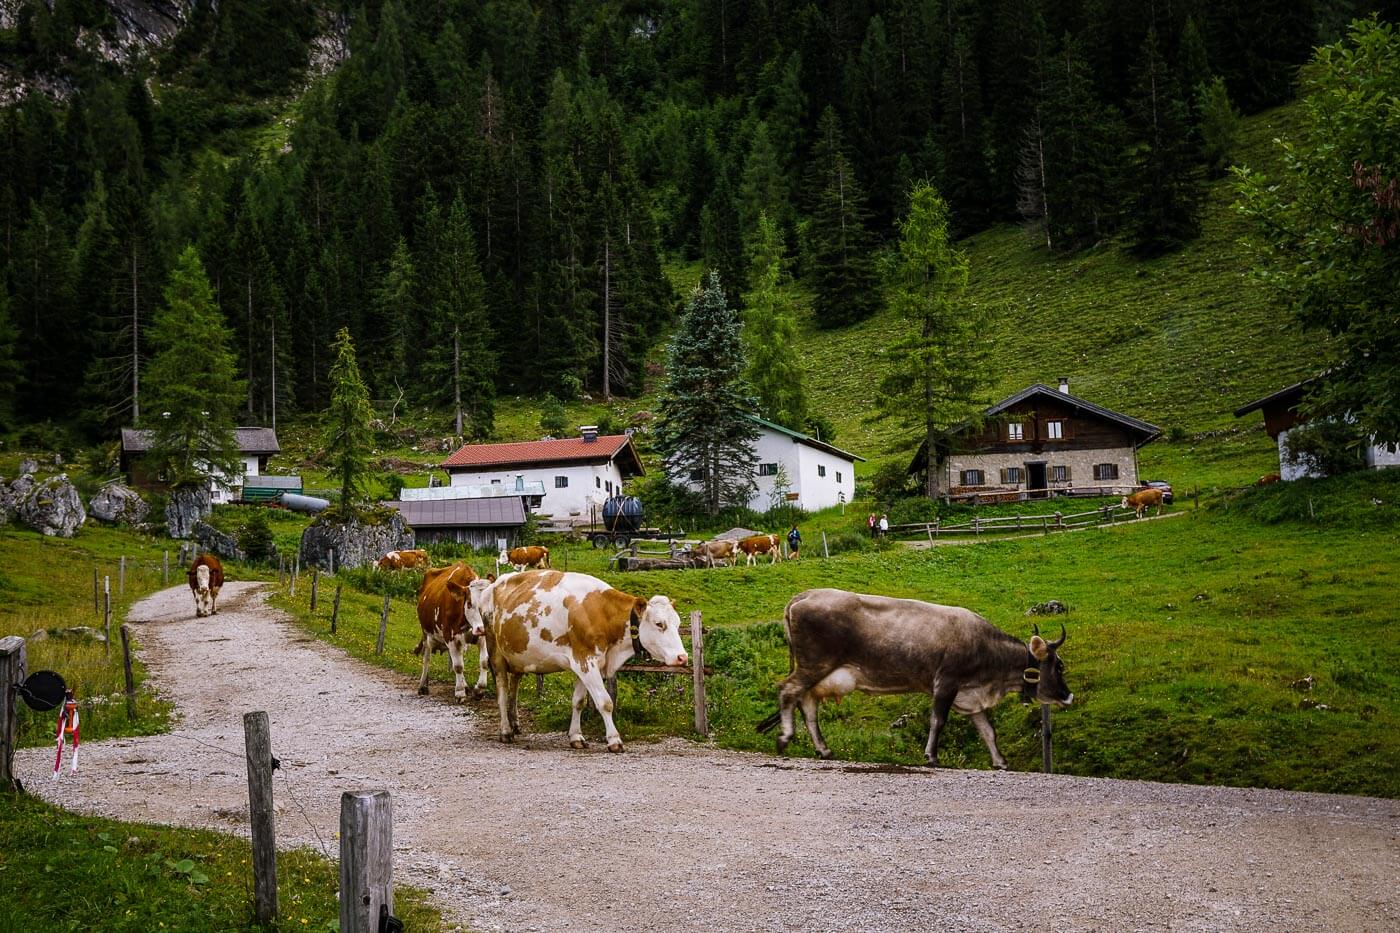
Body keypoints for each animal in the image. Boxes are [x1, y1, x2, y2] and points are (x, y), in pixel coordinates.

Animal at [408, 560, 487, 697]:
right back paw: (423, 686)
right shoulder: (450, 636)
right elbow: (458, 666)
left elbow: (483, 662)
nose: (481, 629)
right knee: (426, 658)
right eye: (470, 604)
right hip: (426, 633)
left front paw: (478, 689)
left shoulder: (480, 638)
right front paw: (460, 693)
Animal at [473, 565, 686, 750]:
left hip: (518, 657)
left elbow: (578, 702)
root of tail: (493, 585)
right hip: (496, 654)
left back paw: (515, 724)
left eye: (677, 624)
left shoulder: (584, 665)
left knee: (513, 688)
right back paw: (506, 730)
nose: (682, 657)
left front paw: (576, 736)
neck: (602, 613)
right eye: (659, 624)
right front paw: (614, 740)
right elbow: (605, 702)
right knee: (502, 692)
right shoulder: (586, 662)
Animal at [761, 585, 1075, 767]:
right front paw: (931, 756)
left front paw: (999, 761)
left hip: (818, 673)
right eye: (1058, 666)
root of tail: (805, 595)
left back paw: (823, 749)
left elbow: (988, 731)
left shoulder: (970, 696)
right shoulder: (946, 682)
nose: (1069, 695)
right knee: (788, 691)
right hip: (813, 665)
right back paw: (786, 737)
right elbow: (938, 720)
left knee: (808, 704)